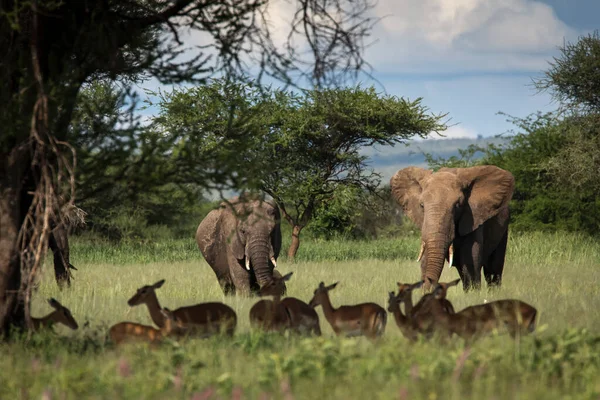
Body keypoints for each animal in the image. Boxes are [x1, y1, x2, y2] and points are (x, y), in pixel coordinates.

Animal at [390, 164, 516, 292]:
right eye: (421, 205)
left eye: (457, 205)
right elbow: (426, 258)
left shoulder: (473, 218)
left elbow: (471, 261)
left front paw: (474, 294)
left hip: (504, 228)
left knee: (493, 268)